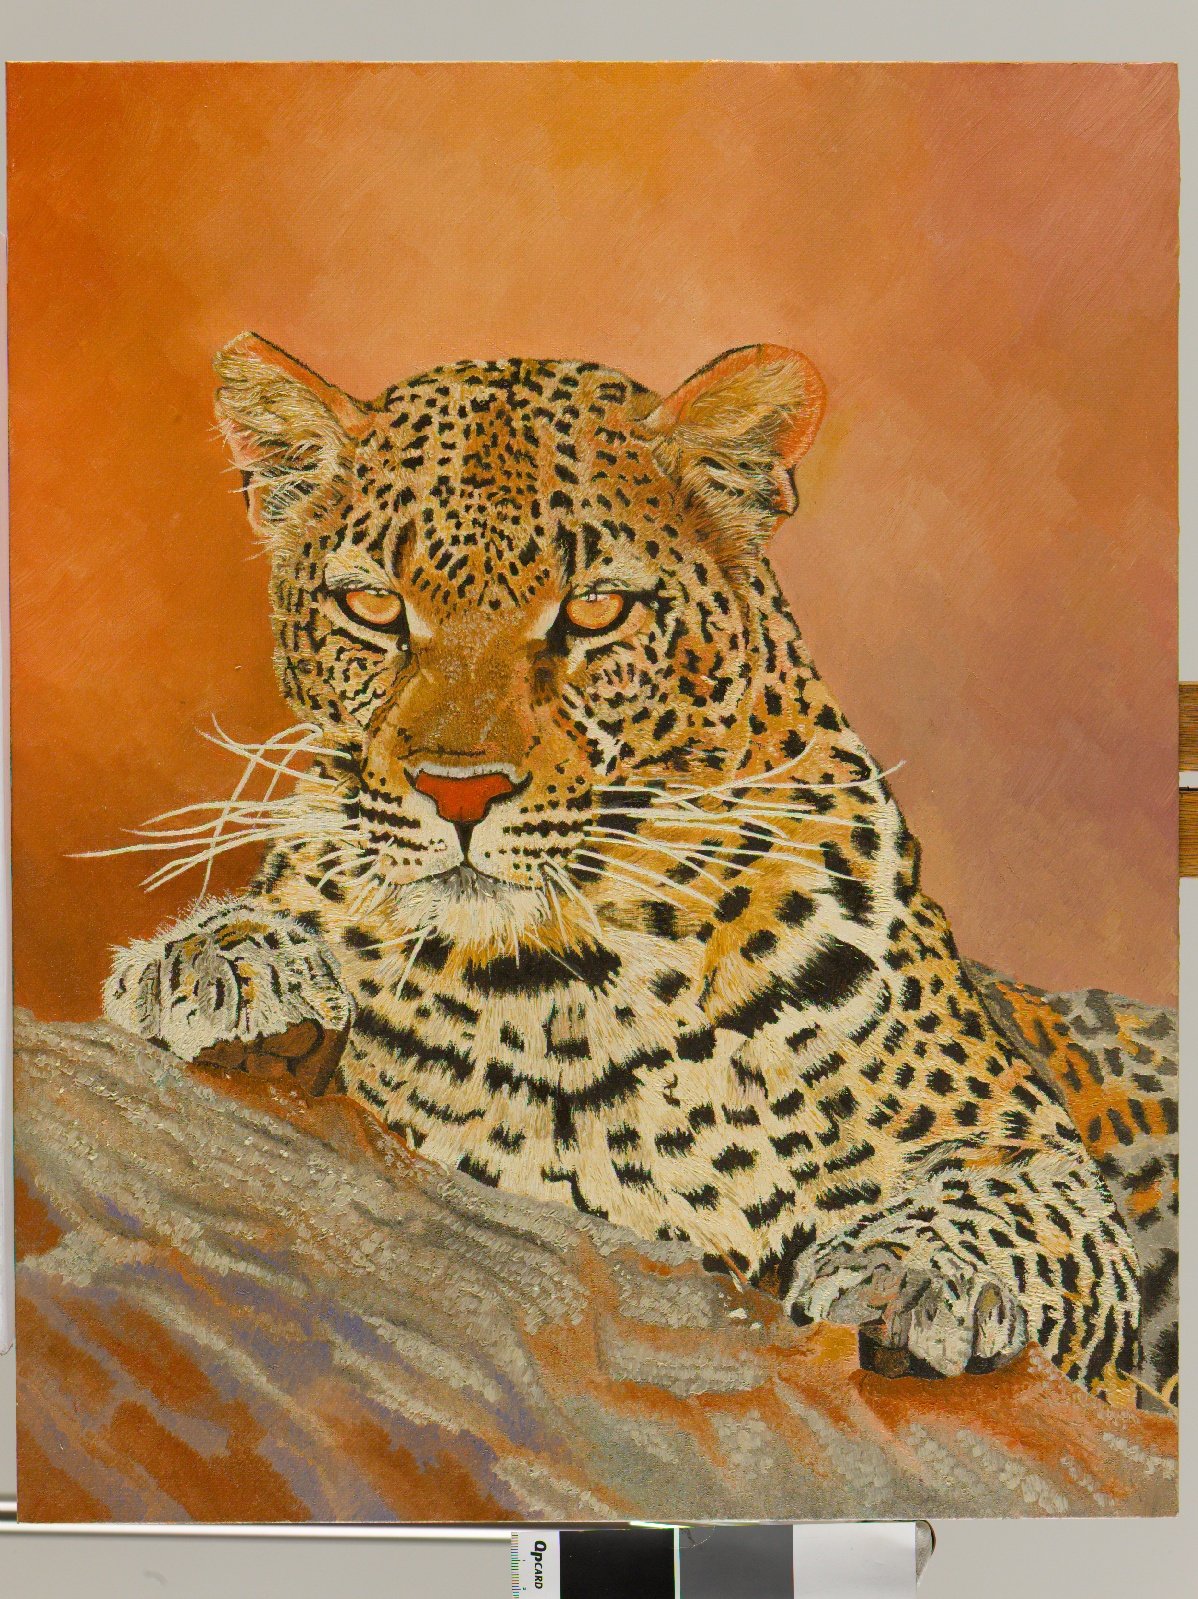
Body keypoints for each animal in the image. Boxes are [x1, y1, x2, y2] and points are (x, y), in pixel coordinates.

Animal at [103, 332, 1163, 1408]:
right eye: (372, 607)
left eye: (596, 612)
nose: (457, 793)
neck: (551, 986)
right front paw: (230, 966)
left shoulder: (1025, 1145)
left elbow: (1001, 1195)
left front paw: (906, 1273)